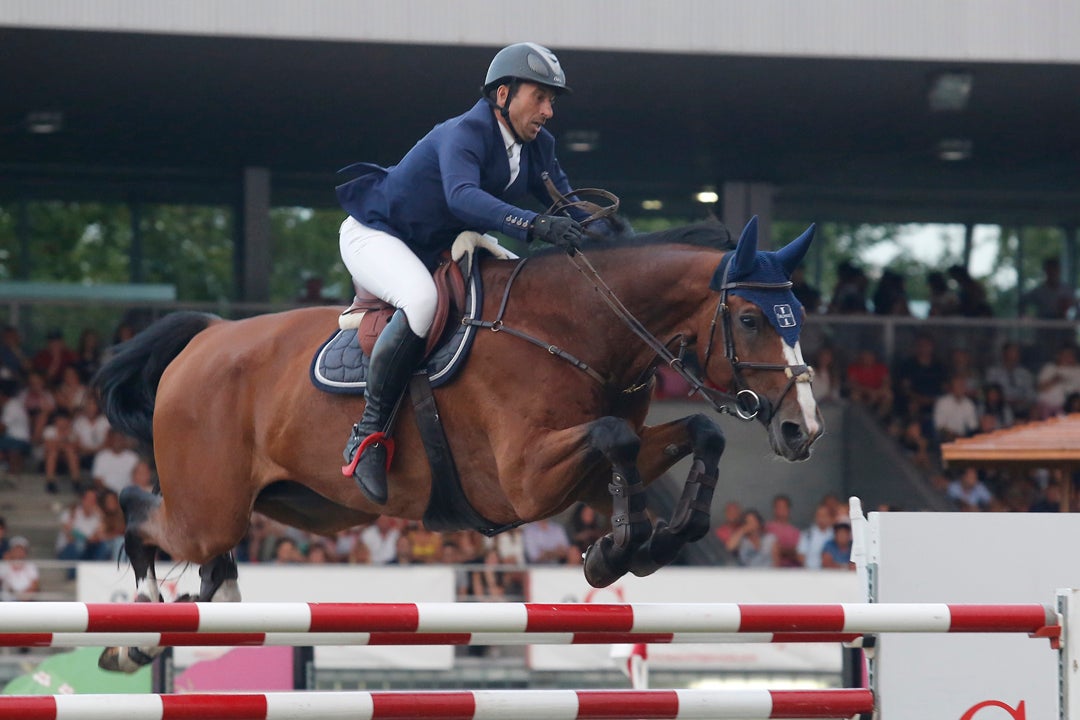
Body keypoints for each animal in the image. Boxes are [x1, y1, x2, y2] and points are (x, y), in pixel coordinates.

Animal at [97, 212, 816, 669]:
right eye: (750, 319)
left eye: (799, 316)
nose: (801, 429)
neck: (576, 328)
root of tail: (208, 335)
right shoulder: (525, 481)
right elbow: (614, 439)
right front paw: (611, 554)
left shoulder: (594, 467)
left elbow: (697, 434)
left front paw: (657, 541)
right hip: (210, 507)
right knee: (139, 512)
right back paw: (137, 633)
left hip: (307, 505)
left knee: (206, 557)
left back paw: (198, 610)